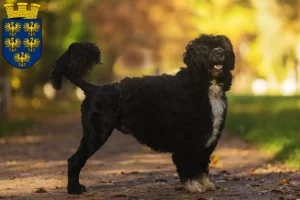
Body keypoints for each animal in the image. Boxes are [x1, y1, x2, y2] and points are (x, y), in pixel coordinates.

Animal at [50, 34, 236, 194]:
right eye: (204, 47)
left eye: (222, 45)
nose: (219, 52)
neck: (204, 85)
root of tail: (94, 89)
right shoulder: (188, 141)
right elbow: (188, 166)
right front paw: (194, 186)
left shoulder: (207, 139)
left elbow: (201, 165)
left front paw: (205, 184)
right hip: (96, 134)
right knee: (74, 161)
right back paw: (74, 189)